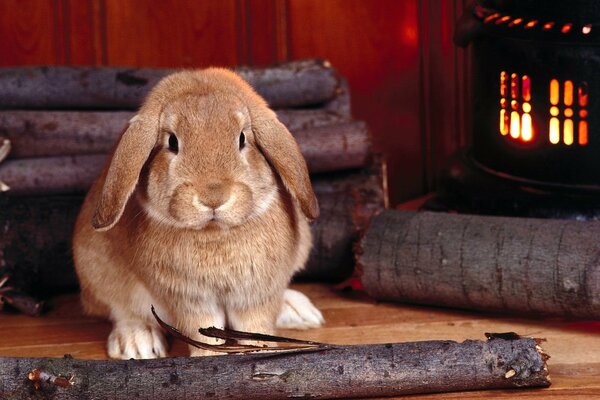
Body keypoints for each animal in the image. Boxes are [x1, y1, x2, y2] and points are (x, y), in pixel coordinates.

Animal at [73, 67, 326, 358]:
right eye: (172, 141)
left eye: (242, 139)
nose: (213, 197)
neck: (214, 233)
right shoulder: (188, 299)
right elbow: (202, 330)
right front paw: (208, 357)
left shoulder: (257, 294)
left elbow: (256, 324)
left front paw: (262, 352)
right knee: (121, 311)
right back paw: (137, 343)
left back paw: (299, 311)